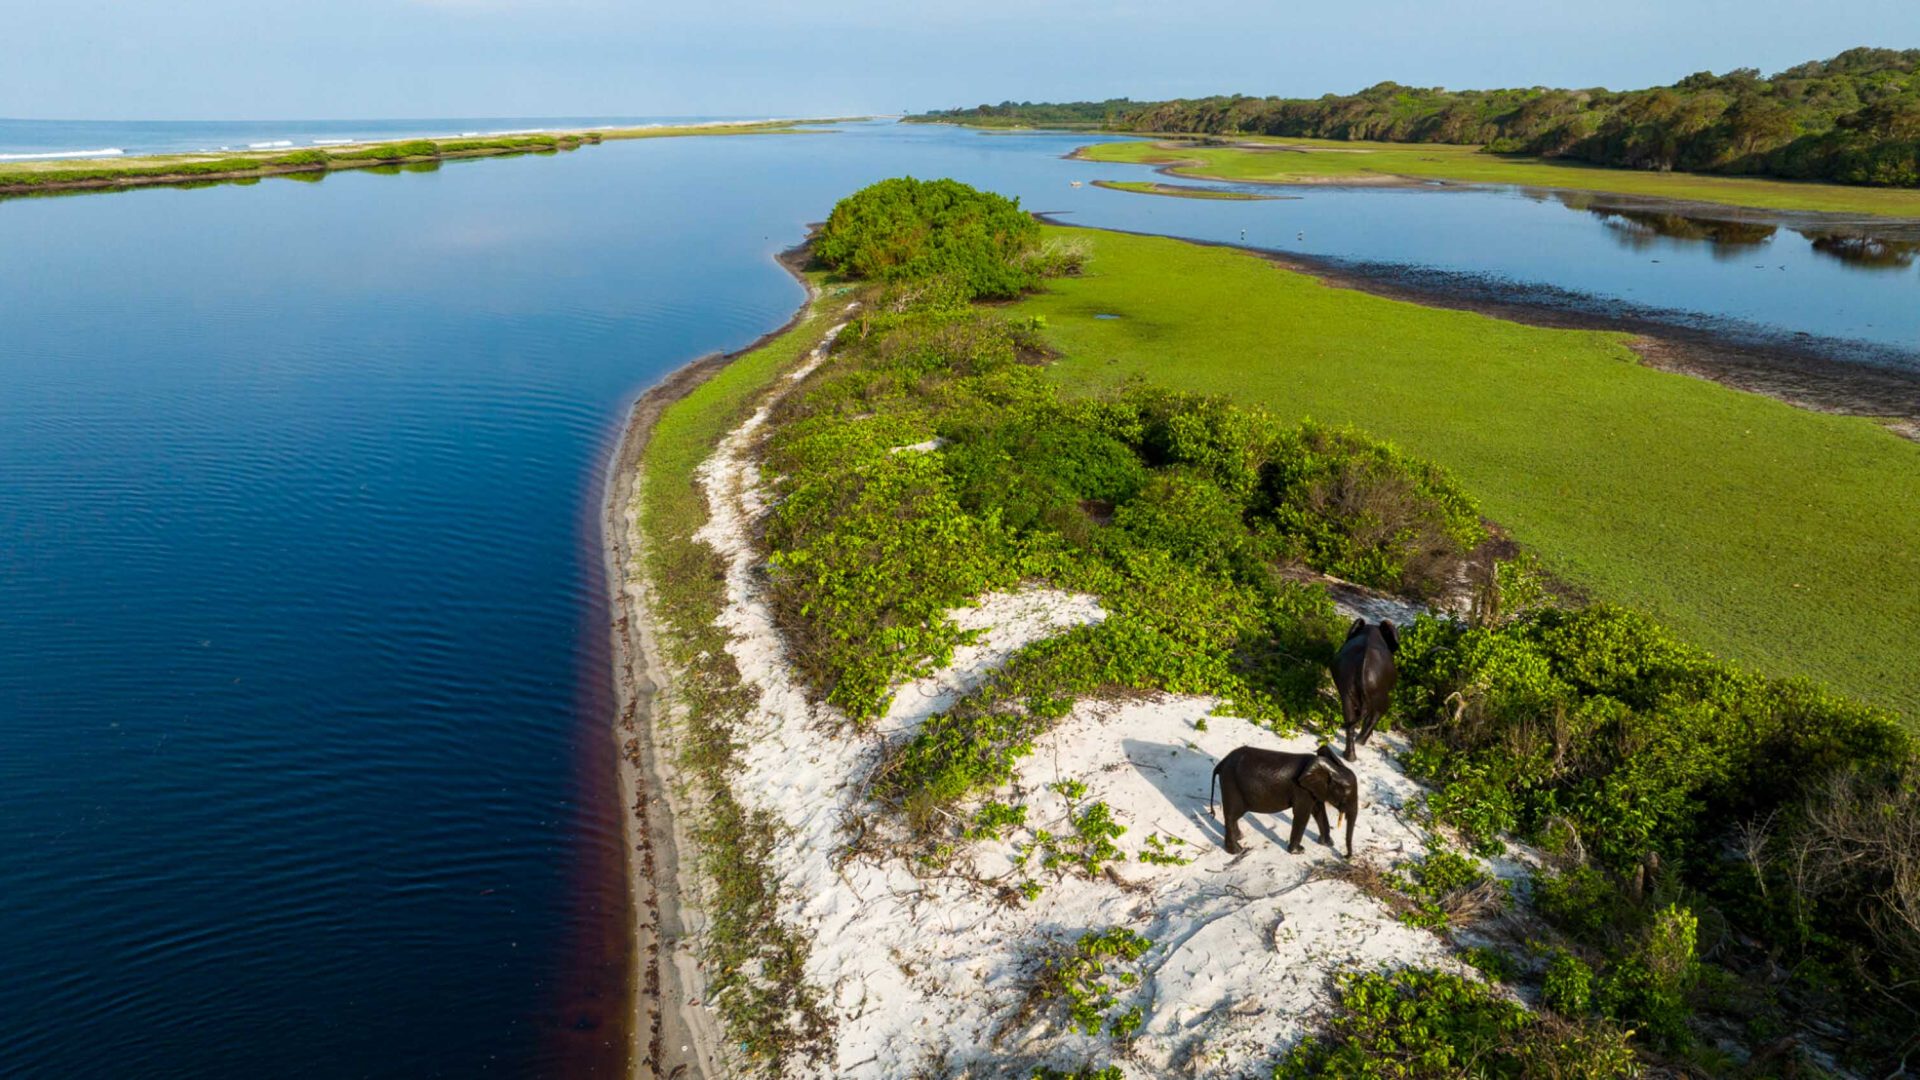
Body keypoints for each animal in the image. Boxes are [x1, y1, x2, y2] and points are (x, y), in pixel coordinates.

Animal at [1209, 744, 1358, 856]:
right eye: (1345, 794)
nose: (1345, 856)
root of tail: (1222, 763)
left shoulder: (1314, 790)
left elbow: (1319, 811)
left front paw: (1327, 843)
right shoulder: (1301, 790)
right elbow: (1302, 815)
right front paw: (1298, 852)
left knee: (1233, 816)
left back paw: (1240, 837)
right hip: (1231, 784)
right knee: (1231, 815)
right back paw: (1236, 851)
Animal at [1333, 617, 1398, 761]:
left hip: (1348, 686)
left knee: (1349, 717)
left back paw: (1350, 756)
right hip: (1380, 692)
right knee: (1379, 712)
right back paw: (1360, 742)